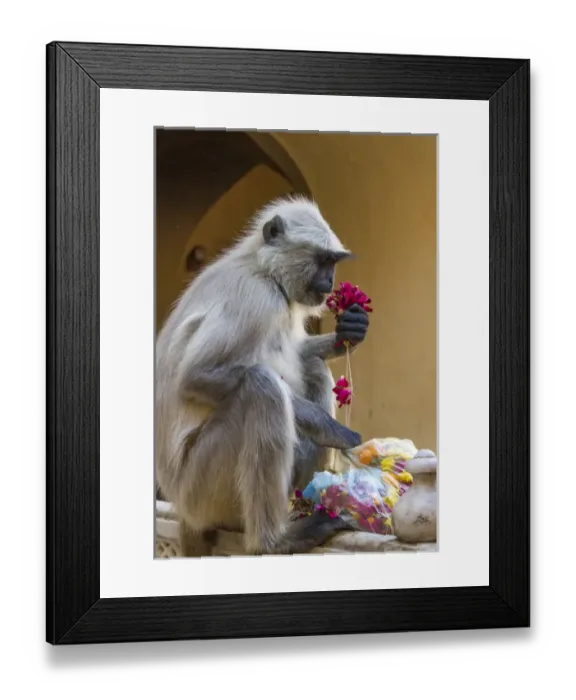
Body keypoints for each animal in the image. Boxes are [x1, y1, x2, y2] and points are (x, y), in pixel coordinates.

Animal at [155, 195, 370, 556]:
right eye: (323, 261)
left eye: (333, 263)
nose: (329, 282)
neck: (262, 267)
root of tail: (183, 508)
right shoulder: (257, 297)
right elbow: (196, 376)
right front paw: (331, 429)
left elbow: (299, 354)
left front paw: (349, 332)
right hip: (199, 488)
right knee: (261, 386)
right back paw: (274, 541)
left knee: (311, 368)